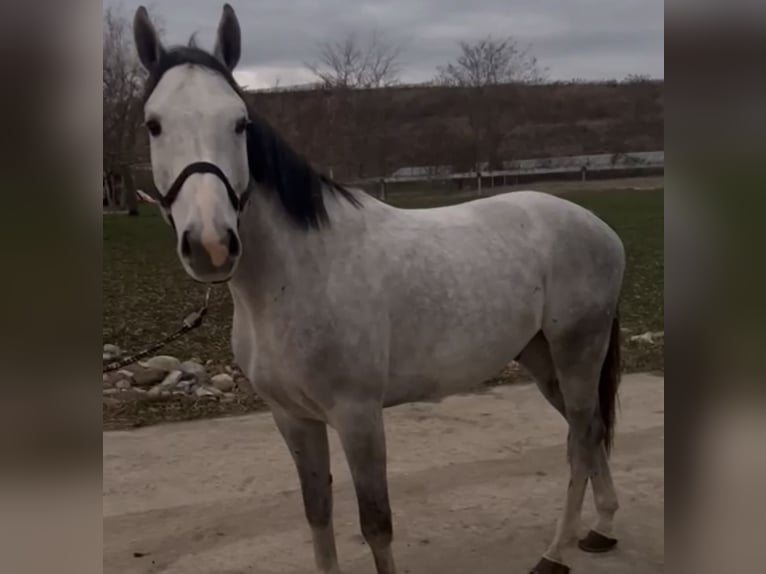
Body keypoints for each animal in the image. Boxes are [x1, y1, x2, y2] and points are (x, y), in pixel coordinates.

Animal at [132, 5, 624, 574]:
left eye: (240, 122)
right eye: (154, 124)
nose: (211, 244)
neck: (295, 275)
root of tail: (599, 228)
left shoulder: (358, 416)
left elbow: (376, 524)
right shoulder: (293, 419)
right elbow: (318, 513)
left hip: (577, 353)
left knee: (579, 440)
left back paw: (554, 552)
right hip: (543, 359)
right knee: (590, 433)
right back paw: (602, 527)